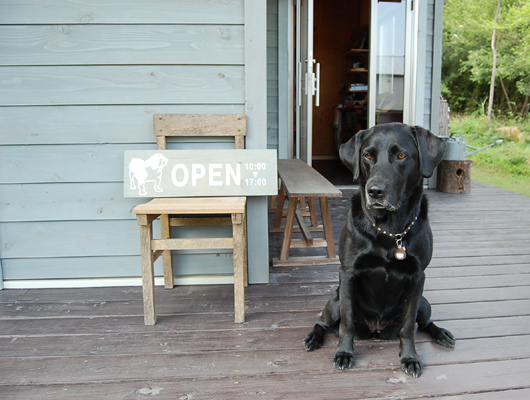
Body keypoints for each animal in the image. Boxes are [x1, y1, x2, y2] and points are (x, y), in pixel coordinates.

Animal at [304, 122, 452, 378]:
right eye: (367, 156)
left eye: (401, 155)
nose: (375, 191)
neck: (389, 230)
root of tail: (376, 329)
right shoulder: (348, 273)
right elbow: (347, 324)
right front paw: (344, 353)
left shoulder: (418, 277)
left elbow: (408, 327)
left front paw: (410, 358)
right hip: (335, 300)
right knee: (323, 322)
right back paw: (314, 337)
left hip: (424, 302)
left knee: (424, 323)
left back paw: (441, 333)